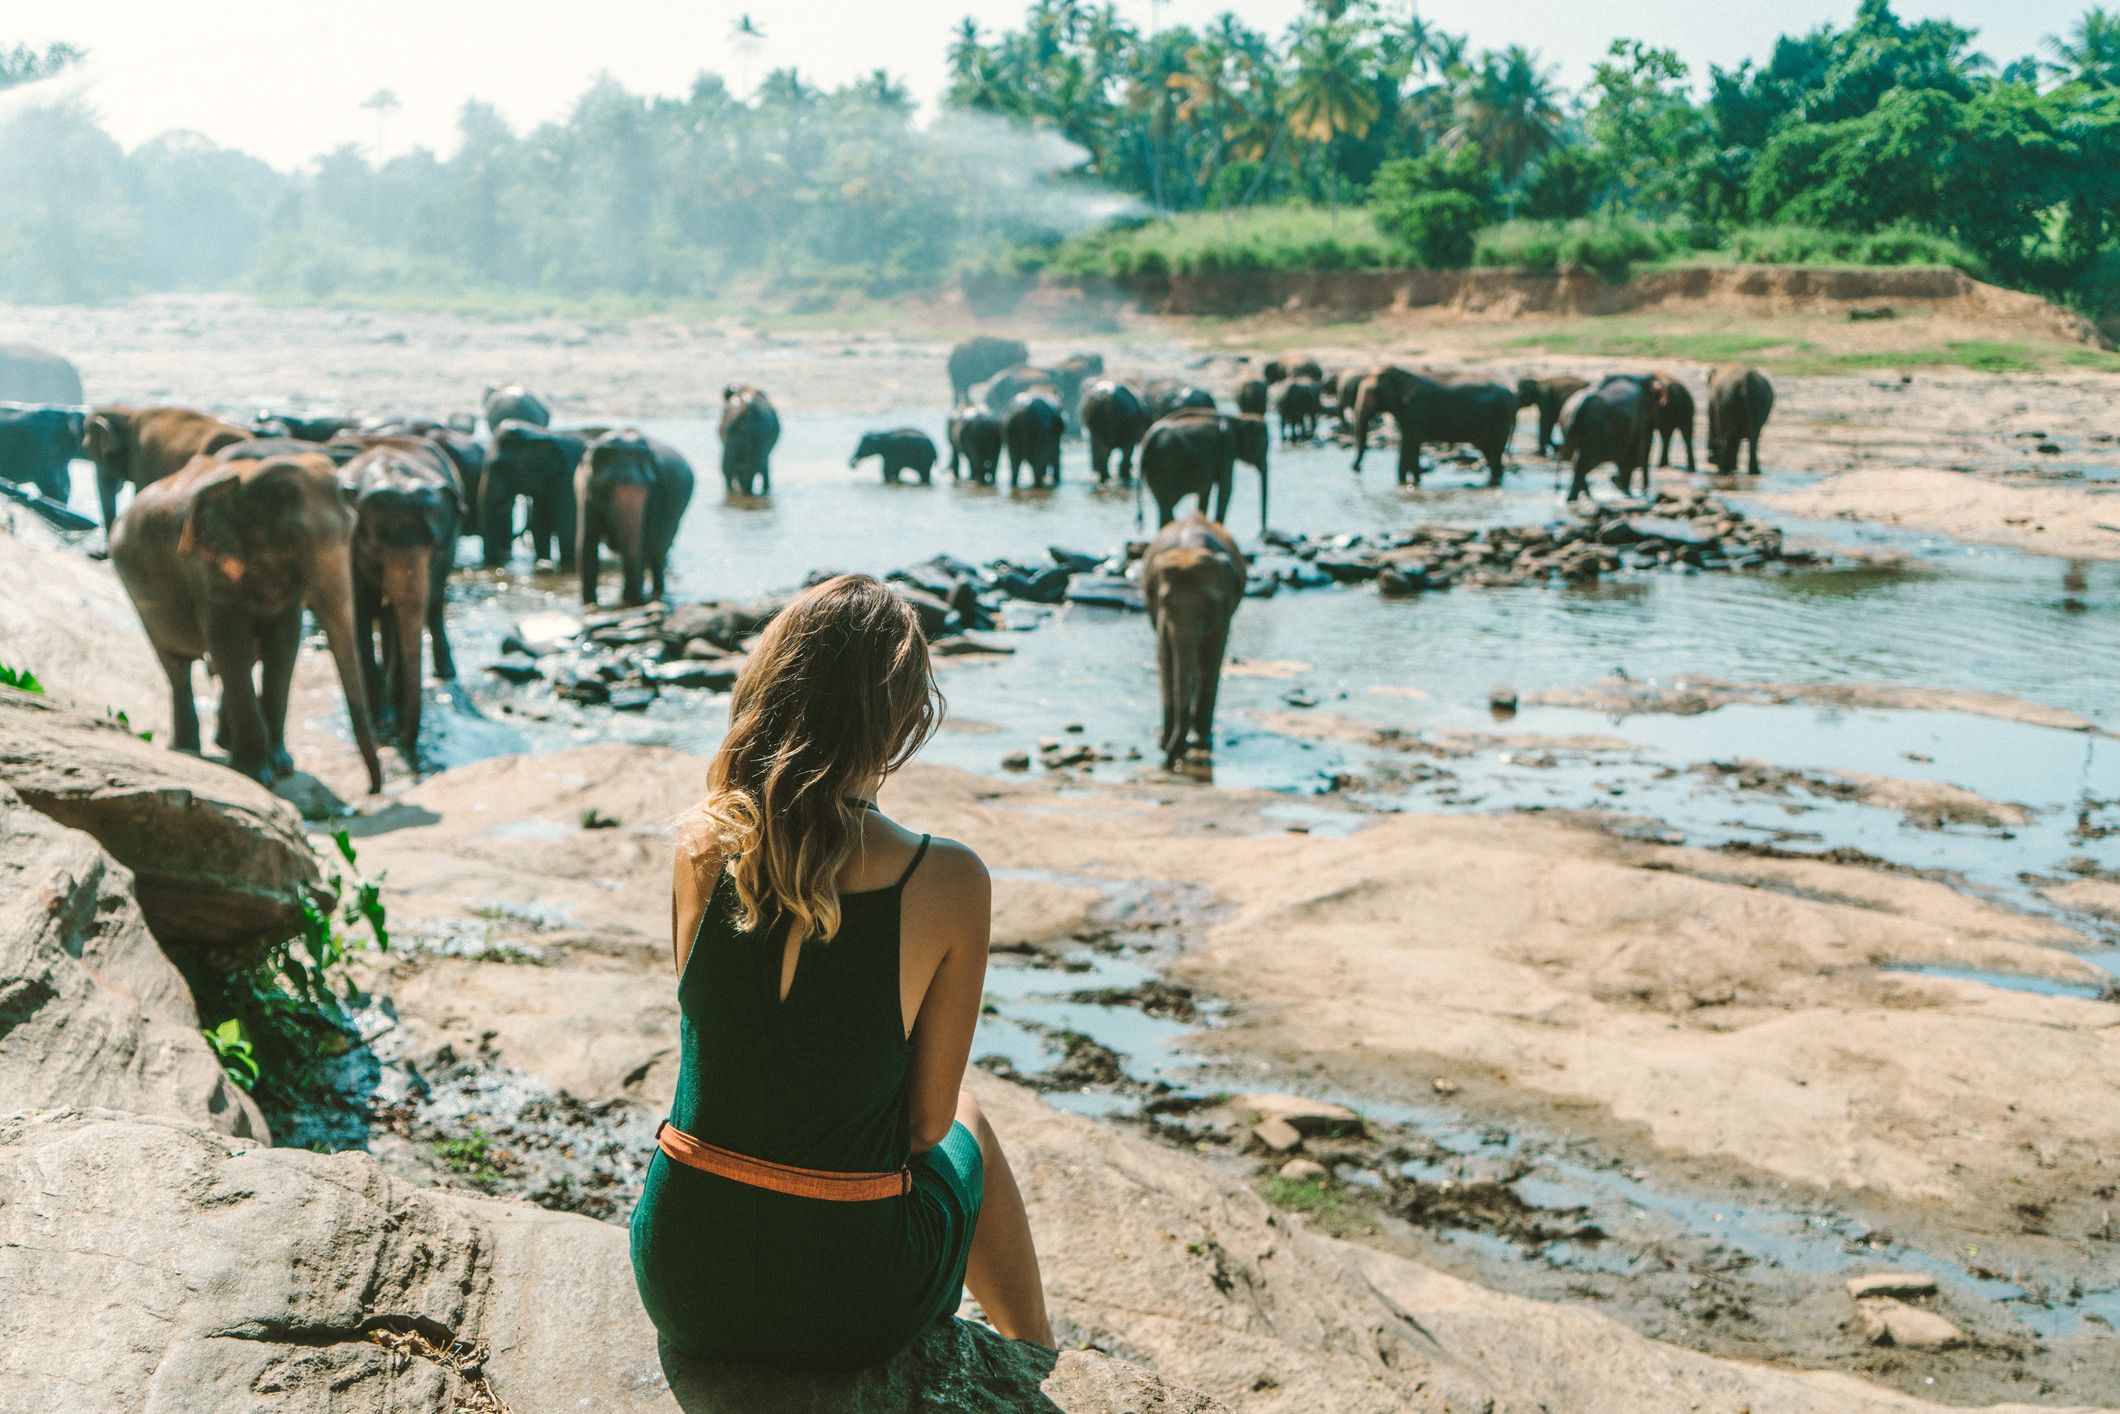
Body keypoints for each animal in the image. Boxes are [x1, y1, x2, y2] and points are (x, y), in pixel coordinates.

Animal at [107, 453, 383, 797]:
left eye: (352, 529)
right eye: (293, 539)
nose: (371, 790)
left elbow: (283, 646)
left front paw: (282, 767)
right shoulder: (206, 569)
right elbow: (228, 643)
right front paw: (258, 775)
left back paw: (223, 742)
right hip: (140, 595)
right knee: (176, 664)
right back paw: (186, 750)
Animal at [572, 432, 695, 610]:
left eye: (650, 485)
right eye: (606, 486)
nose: (640, 600)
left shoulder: (654, 502)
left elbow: (642, 544)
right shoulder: (584, 495)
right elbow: (586, 543)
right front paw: (590, 604)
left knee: (658, 555)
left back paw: (656, 592)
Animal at [1144, 515, 1238, 767]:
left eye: (1210, 602)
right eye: (1164, 600)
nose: (1169, 751)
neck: (1190, 547)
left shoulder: (1224, 609)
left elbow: (1214, 653)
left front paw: (1201, 740)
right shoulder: (1160, 615)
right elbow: (1165, 657)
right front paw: (1167, 740)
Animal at [1365, 368, 1517, 489]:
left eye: (1374, 392)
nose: (1358, 468)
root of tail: (1511, 393)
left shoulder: (1415, 413)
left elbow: (1410, 443)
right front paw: (1411, 484)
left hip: (1501, 419)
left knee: (1494, 452)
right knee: (1490, 453)